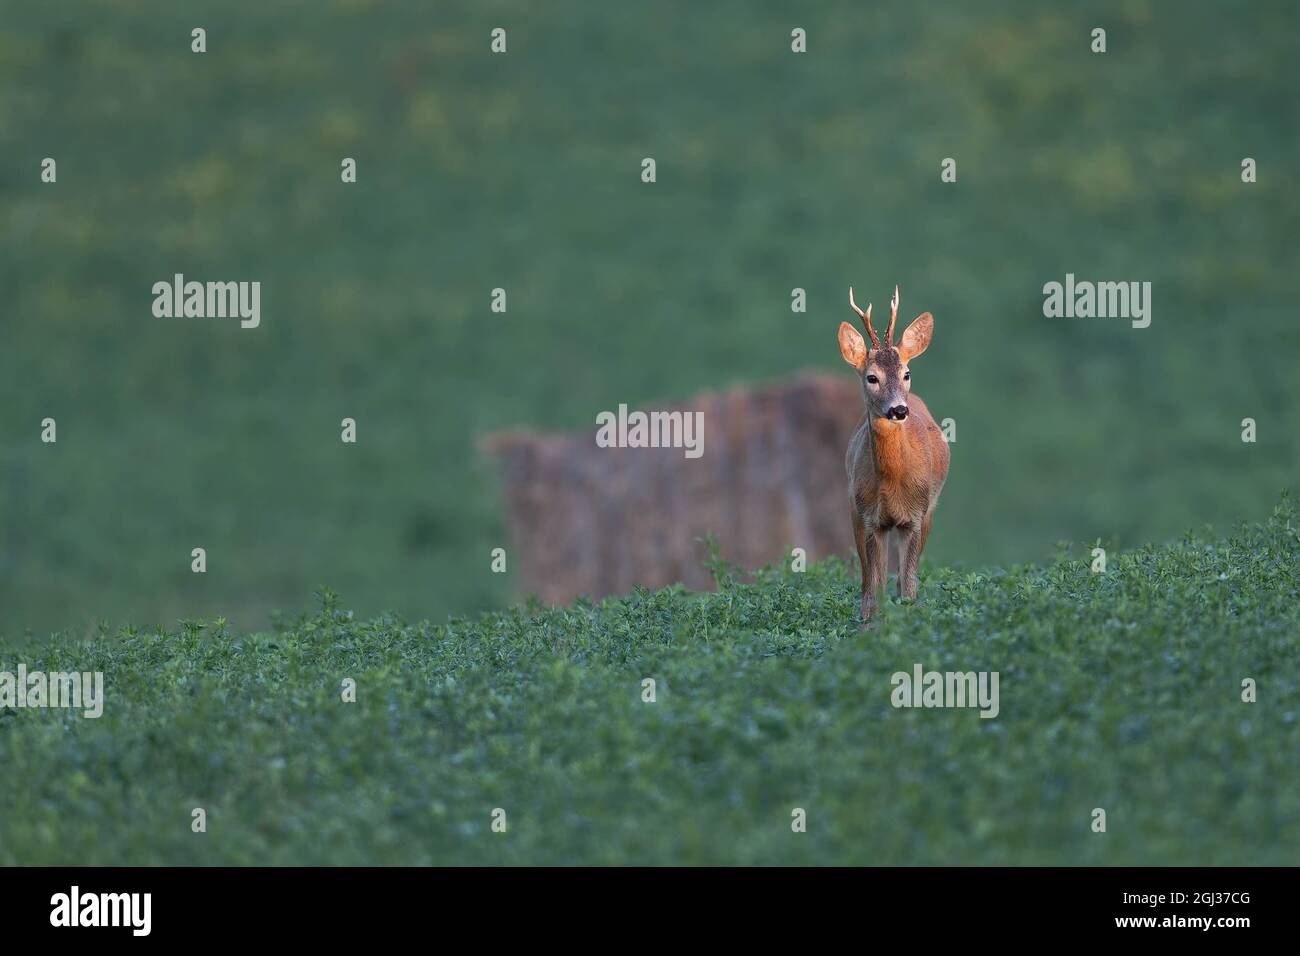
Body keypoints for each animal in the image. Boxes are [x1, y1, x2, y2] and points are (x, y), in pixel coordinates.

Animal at [838, 286, 950, 622]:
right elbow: (873, 588)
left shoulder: (916, 516)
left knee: (900, 579)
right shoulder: (870, 517)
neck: (892, 484)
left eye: (906, 373)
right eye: (872, 377)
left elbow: (908, 586)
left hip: (929, 512)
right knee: (869, 582)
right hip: (855, 510)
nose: (899, 410)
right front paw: (871, 626)